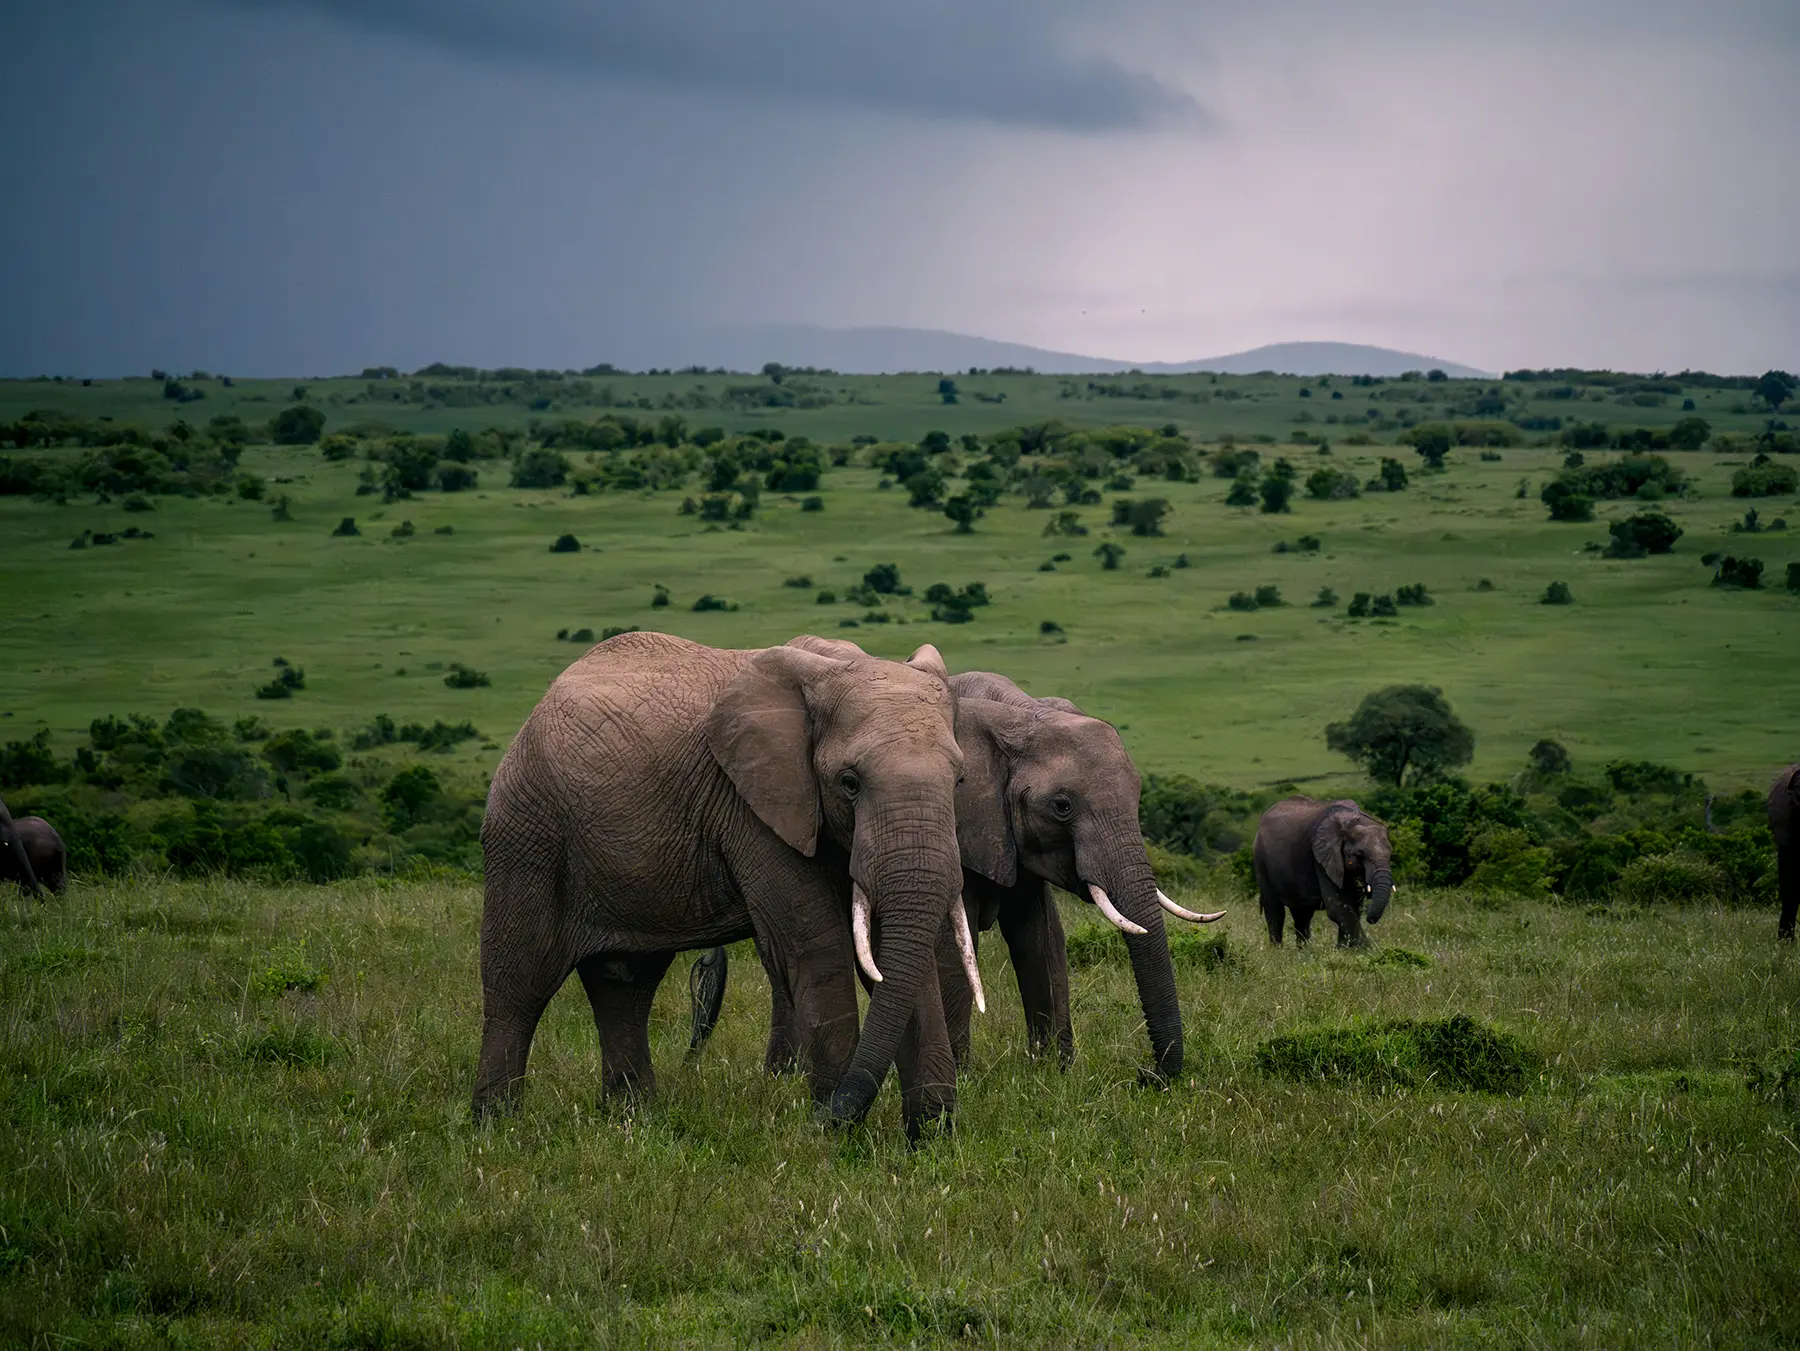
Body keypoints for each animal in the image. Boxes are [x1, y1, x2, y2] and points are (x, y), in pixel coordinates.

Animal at [474, 631, 973, 1142]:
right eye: (849, 782)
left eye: (958, 780)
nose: (826, 1114)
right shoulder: (753, 806)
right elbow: (817, 946)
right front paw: (838, 1141)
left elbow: (898, 953)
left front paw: (930, 1137)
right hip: (528, 834)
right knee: (519, 984)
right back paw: (495, 1130)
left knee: (625, 983)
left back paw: (632, 1120)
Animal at [690, 651, 1223, 1083]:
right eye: (1062, 806)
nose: (1146, 1077)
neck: (1022, 715)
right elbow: (952, 947)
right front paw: (966, 1075)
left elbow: (1041, 939)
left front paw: (1056, 1074)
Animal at [1252, 796, 1394, 948]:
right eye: (1359, 855)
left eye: (1390, 855)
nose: (1370, 919)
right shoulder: (1321, 860)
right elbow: (1338, 908)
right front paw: (1364, 948)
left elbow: (1354, 906)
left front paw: (1344, 949)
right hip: (1261, 862)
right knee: (1275, 910)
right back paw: (1277, 950)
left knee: (1302, 914)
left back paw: (1304, 951)